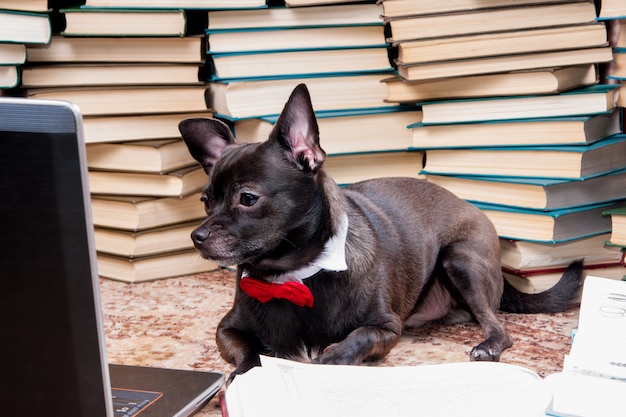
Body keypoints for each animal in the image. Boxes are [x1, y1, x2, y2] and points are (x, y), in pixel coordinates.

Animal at [177, 83, 580, 380]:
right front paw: (249, 373)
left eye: (247, 198)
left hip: (460, 260)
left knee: (497, 325)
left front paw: (332, 358)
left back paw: (489, 344)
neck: (293, 277)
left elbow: (358, 336)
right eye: (205, 202)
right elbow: (249, 350)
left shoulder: (386, 329)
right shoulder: (226, 330)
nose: (197, 236)